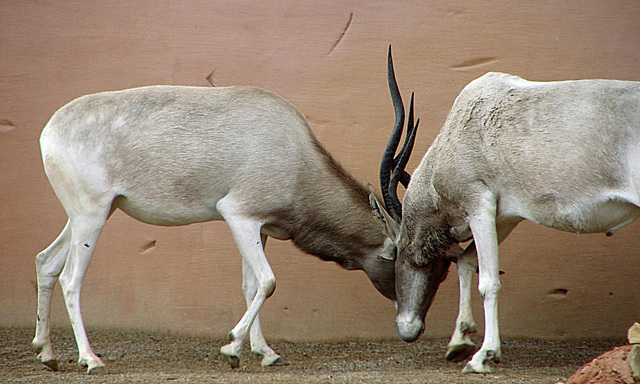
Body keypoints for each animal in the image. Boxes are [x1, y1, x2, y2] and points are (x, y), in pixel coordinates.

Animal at [33, 72, 420, 372]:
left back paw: (47, 354)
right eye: (394, 253)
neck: (296, 157)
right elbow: (268, 281)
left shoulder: (260, 227)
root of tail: (49, 131)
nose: (410, 328)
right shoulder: (238, 215)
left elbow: (252, 285)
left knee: (46, 262)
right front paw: (232, 347)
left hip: (90, 213)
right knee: (70, 278)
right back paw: (90, 359)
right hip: (92, 214)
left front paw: (265, 353)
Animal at [376, 59, 640, 372]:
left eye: (395, 253)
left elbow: (488, 282)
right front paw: (459, 341)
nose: (408, 328)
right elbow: (466, 262)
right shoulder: (504, 217)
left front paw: (483, 355)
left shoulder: (478, 205)